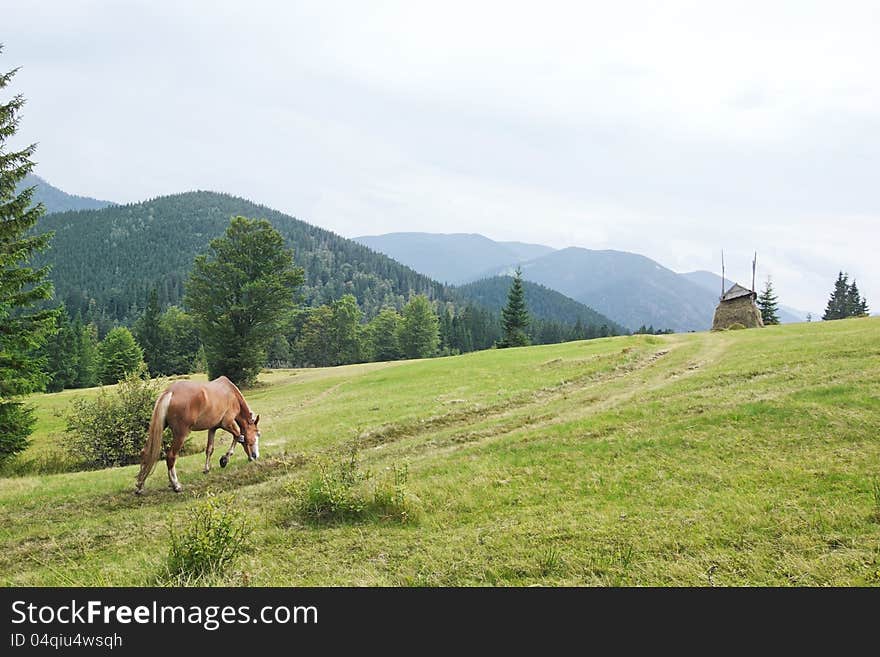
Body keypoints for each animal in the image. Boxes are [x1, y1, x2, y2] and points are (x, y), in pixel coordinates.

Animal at [132, 374, 260, 492]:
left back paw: (140, 485)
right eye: (257, 434)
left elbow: (209, 449)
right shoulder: (227, 424)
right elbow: (239, 436)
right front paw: (225, 459)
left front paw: (207, 468)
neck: (232, 394)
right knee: (171, 456)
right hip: (181, 435)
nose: (255, 456)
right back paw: (176, 485)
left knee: (145, 452)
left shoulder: (212, 428)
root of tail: (170, 392)